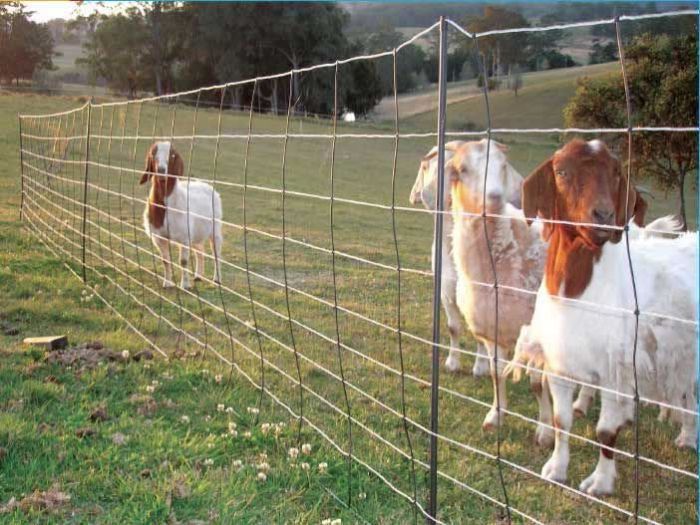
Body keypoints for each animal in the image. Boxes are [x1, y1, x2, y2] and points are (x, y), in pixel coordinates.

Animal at [140, 141, 222, 289]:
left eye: (172, 155)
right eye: (153, 154)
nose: (161, 170)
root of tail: (206, 185)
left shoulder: (184, 237)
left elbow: (183, 261)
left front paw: (184, 285)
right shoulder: (159, 237)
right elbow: (165, 260)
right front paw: (167, 283)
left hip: (215, 227)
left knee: (216, 253)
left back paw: (217, 279)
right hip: (196, 233)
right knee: (200, 251)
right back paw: (198, 276)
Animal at [520, 138, 697, 496]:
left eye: (616, 173)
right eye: (561, 171)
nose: (603, 215)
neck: (577, 292)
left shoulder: (617, 366)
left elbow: (605, 431)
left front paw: (599, 483)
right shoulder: (560, 363)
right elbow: (561, 421)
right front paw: (556, 469)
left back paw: (688, 436)